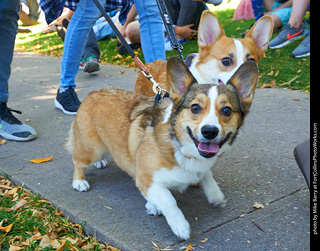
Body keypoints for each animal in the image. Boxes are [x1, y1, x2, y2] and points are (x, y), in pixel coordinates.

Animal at [69, 57, 258, 240]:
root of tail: (93, 93)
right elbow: (168, 201)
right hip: (90, 150)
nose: (210, 131)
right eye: (195, 107)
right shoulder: (147, 180)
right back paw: (80, 181)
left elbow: (207, 176)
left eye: (226, 110)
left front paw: (215, 196)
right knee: (77, 161)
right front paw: (179, 226)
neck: (181, 147)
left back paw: (100, 163)